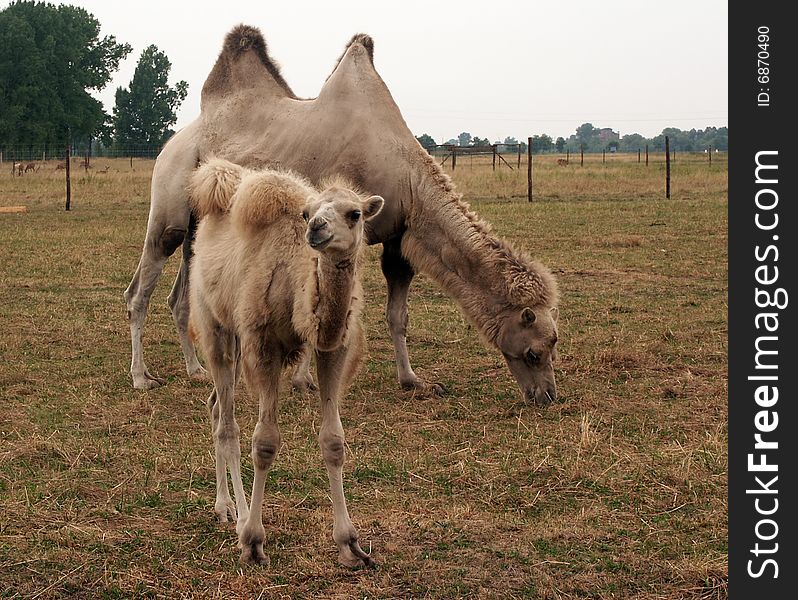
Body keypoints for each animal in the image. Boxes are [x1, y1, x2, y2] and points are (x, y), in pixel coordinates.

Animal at [126, 25, 564, 406]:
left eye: (552, 345)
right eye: (536, 350)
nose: (546, 396)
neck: (405, 175)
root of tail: (171, 144)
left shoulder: (397, 238)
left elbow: (397, 316)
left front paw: (412, 380)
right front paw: (303, 380)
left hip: (199, 225)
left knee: (180, 297)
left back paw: (196, 370)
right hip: (169, 207)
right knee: (140, 288)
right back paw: (142, 377)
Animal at [191, 158, 384, 568]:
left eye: (355, 213)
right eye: (308, 212)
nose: (317, 228)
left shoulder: (333, 350)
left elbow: (333, 441)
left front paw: (350, 544)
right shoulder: (264, 346)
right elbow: (264, 442)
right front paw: (252, 541)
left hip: (236, 343)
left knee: (215, 406)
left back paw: (225, 506)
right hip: (215, 328)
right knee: (228, 425)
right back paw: (236, 514)